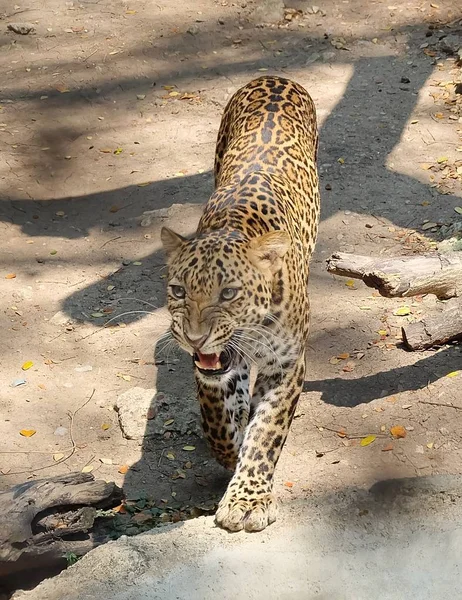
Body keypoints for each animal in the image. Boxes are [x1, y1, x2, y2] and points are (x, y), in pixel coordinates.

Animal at [162, 75, 318, 528]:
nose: (194, 338)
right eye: (179, 291)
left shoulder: (287, 365)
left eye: (229, 293)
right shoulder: (210, 370)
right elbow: (218, 418)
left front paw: (247, 499)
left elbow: (266, 433)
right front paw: (231, 455)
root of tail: (274, 77)